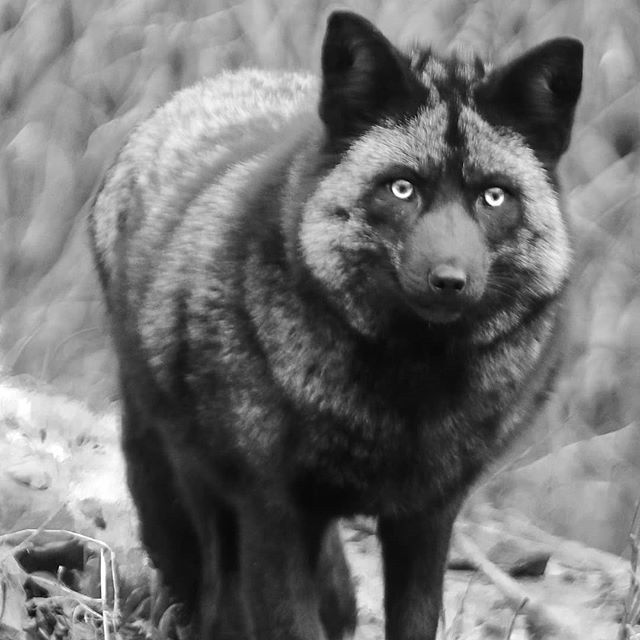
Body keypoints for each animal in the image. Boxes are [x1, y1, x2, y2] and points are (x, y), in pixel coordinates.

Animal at [88, 10, 582, 640]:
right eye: (402, 188)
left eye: (493, 198)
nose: (449, 280)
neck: (405, 399)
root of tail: (218, 82)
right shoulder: (272, 509)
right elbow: (287, 620)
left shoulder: (427, 517)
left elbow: (415, 620)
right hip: (182, 473)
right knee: (212, 584)